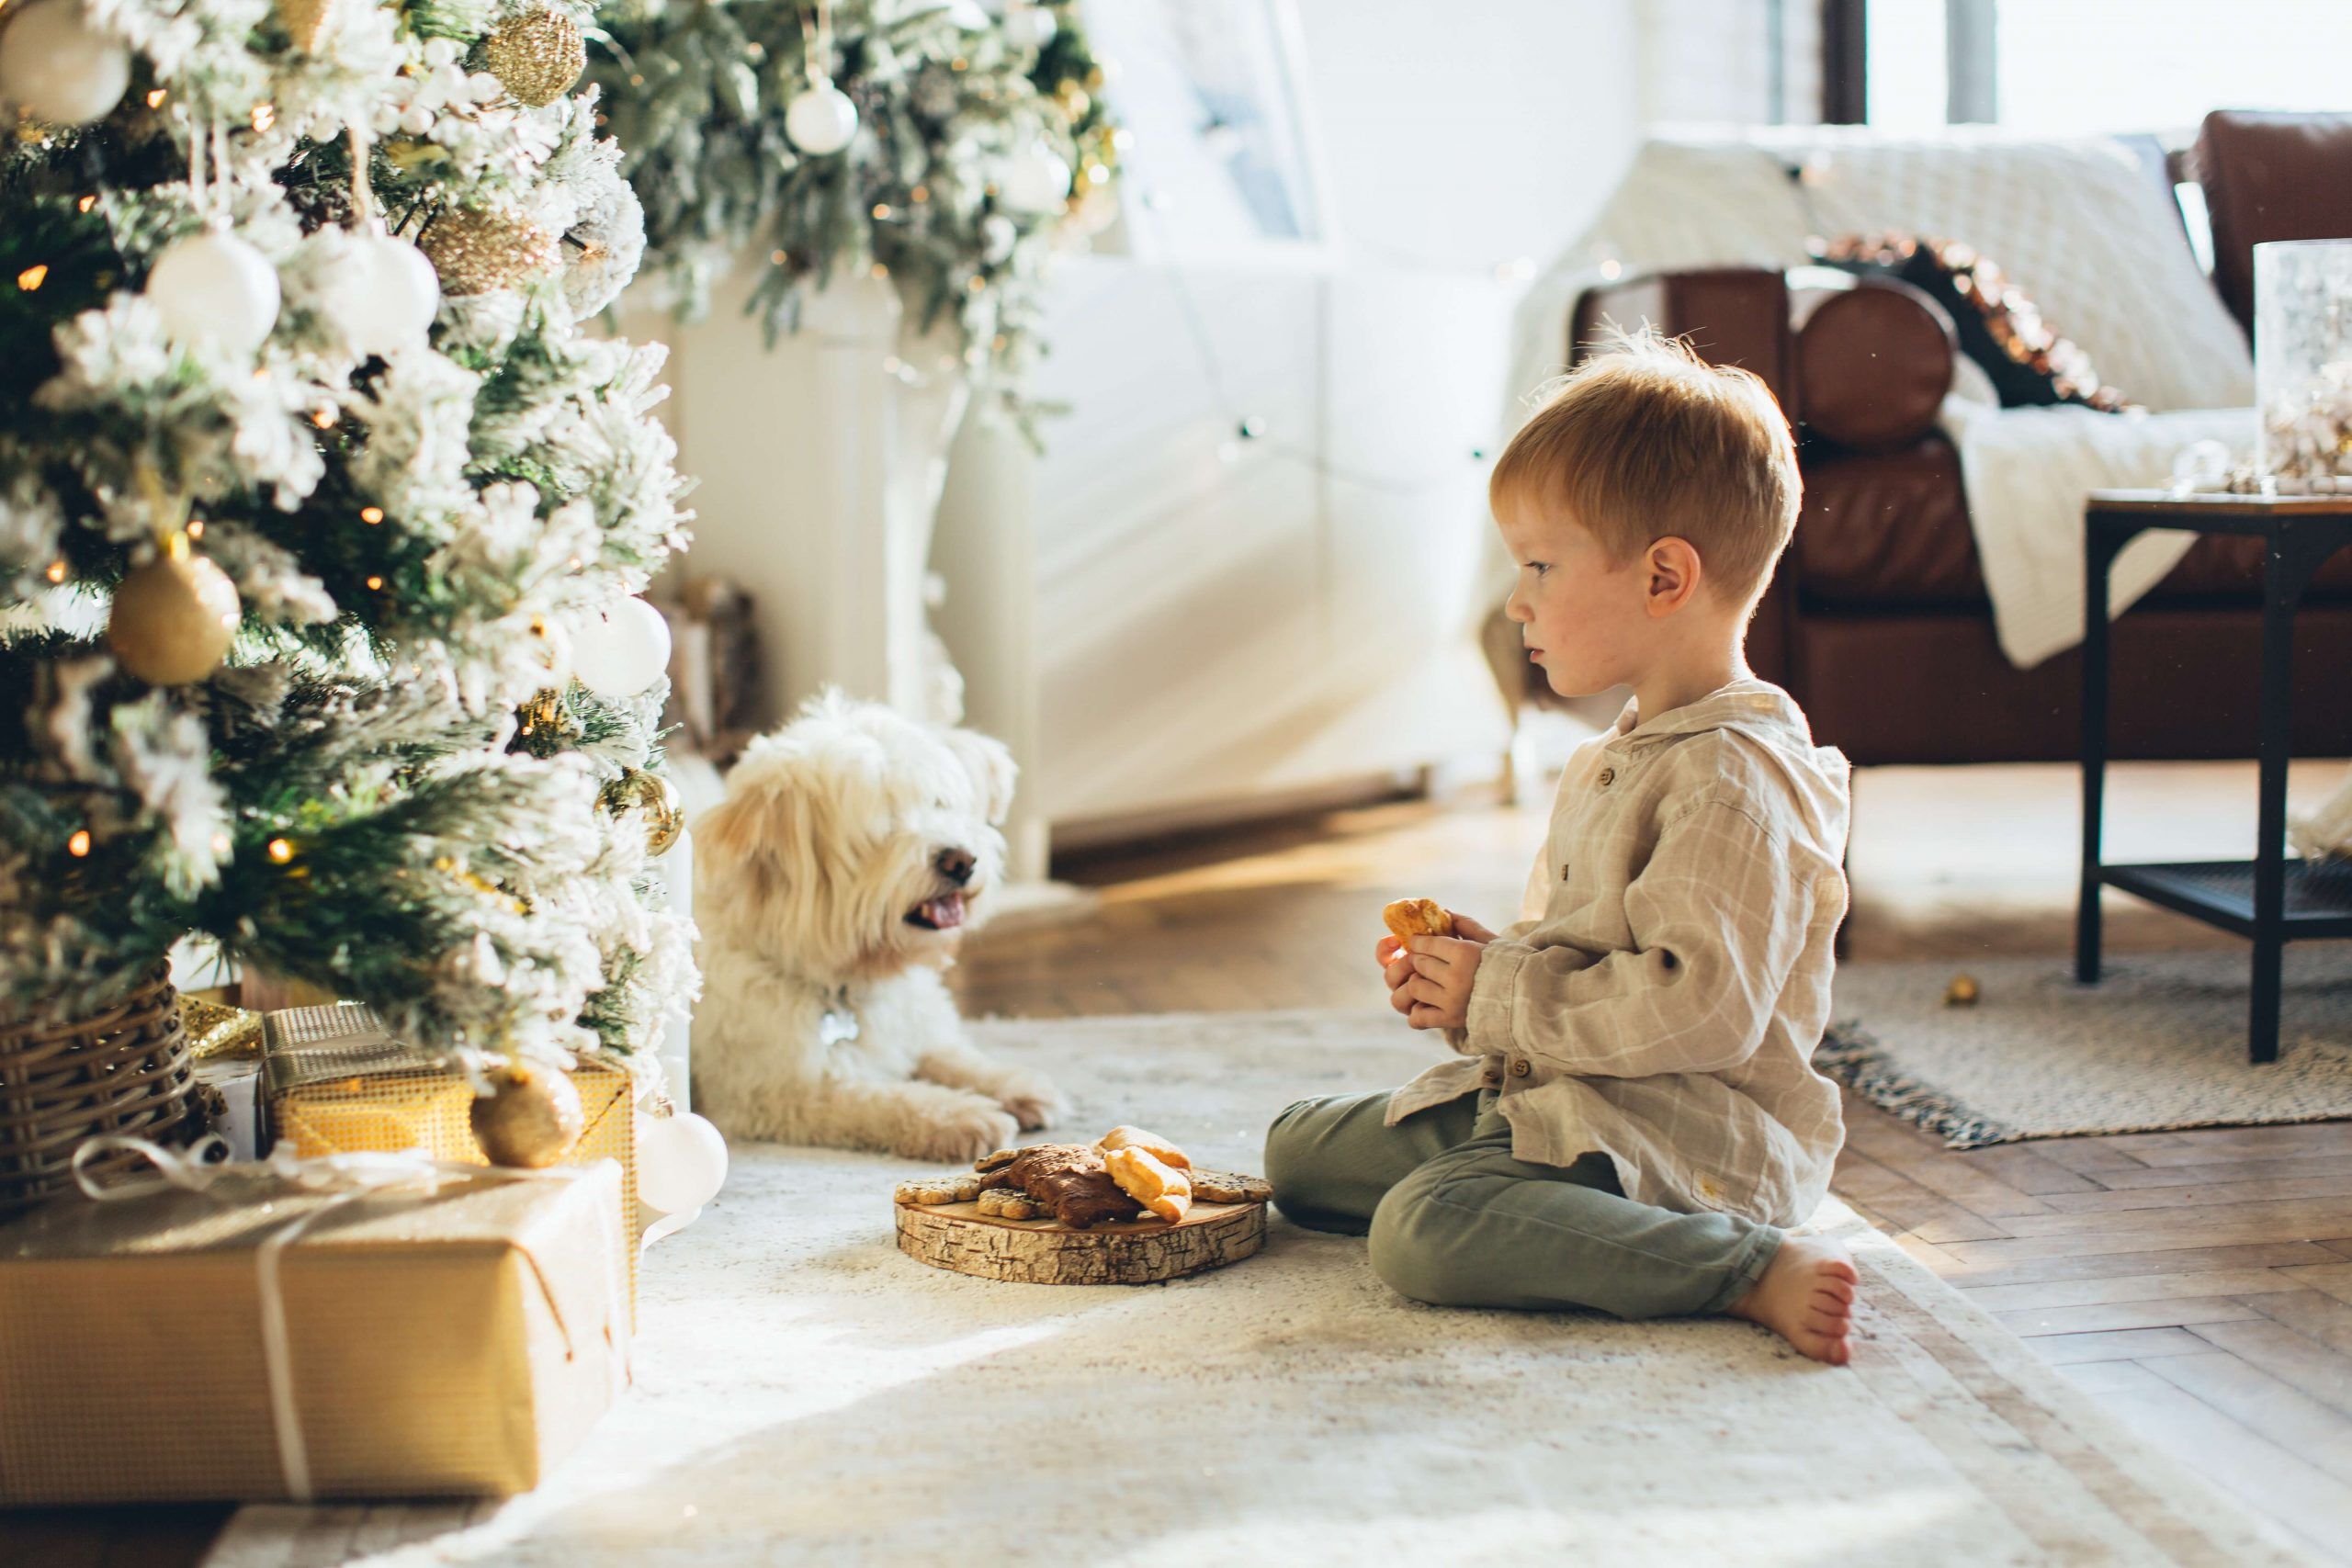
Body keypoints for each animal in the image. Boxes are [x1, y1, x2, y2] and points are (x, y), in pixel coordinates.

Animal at [691, 691, 1072, 1161]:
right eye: (883, 827)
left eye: (939, 803)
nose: (960, 861)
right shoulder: (776, 1093)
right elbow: (881, 1098)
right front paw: (960, 1115)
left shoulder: (915, 1029)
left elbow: (950, 1054)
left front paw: (1013, 1083)